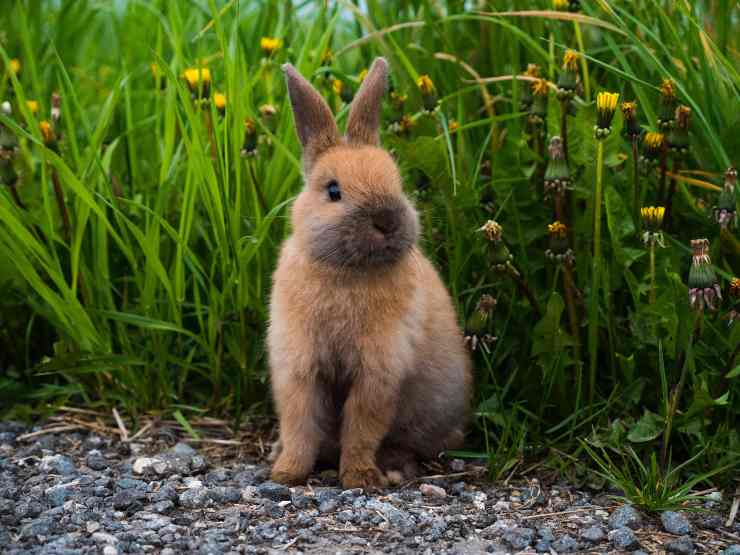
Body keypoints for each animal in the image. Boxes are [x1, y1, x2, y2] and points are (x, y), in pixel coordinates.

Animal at [268, 57, 472, 490]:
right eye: (333, 191)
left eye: (396, 181)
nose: (387, 220)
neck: (347, 271)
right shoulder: (298, 366)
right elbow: (299, 424)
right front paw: (287, 472)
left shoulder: (379, 371)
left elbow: (362, 427)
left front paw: (360, 477)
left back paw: (395, 467)